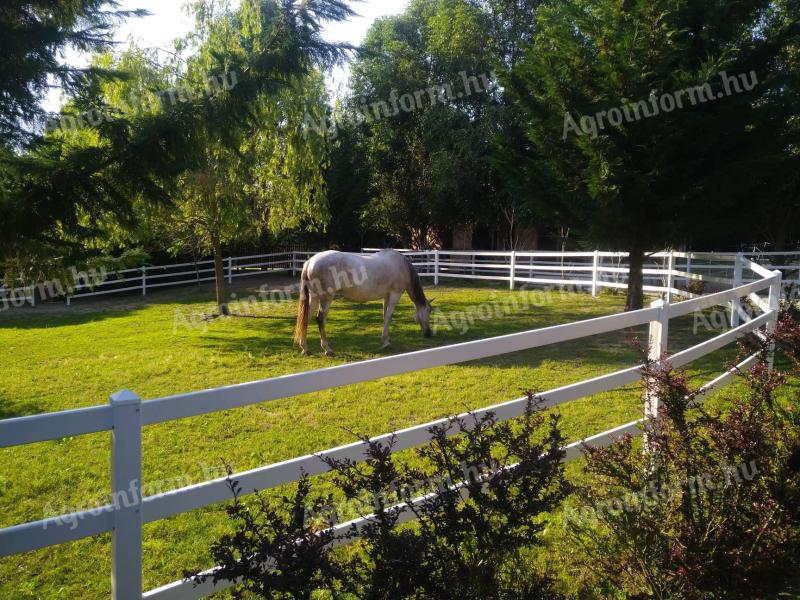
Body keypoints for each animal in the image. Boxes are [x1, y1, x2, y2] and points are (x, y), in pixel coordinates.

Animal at [292, 250, 432, 356]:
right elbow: (389, 317)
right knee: (320, 319)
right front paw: (386, 342)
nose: (428, 333)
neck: (402, 266)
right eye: (429, 311)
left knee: (306, 318)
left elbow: (385, 317)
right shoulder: (394, 295)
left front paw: (385, 339)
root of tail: (310, 262)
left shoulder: (386, 297)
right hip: (326, 298)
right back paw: (327, 349)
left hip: (314, 298)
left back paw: (305, 348)